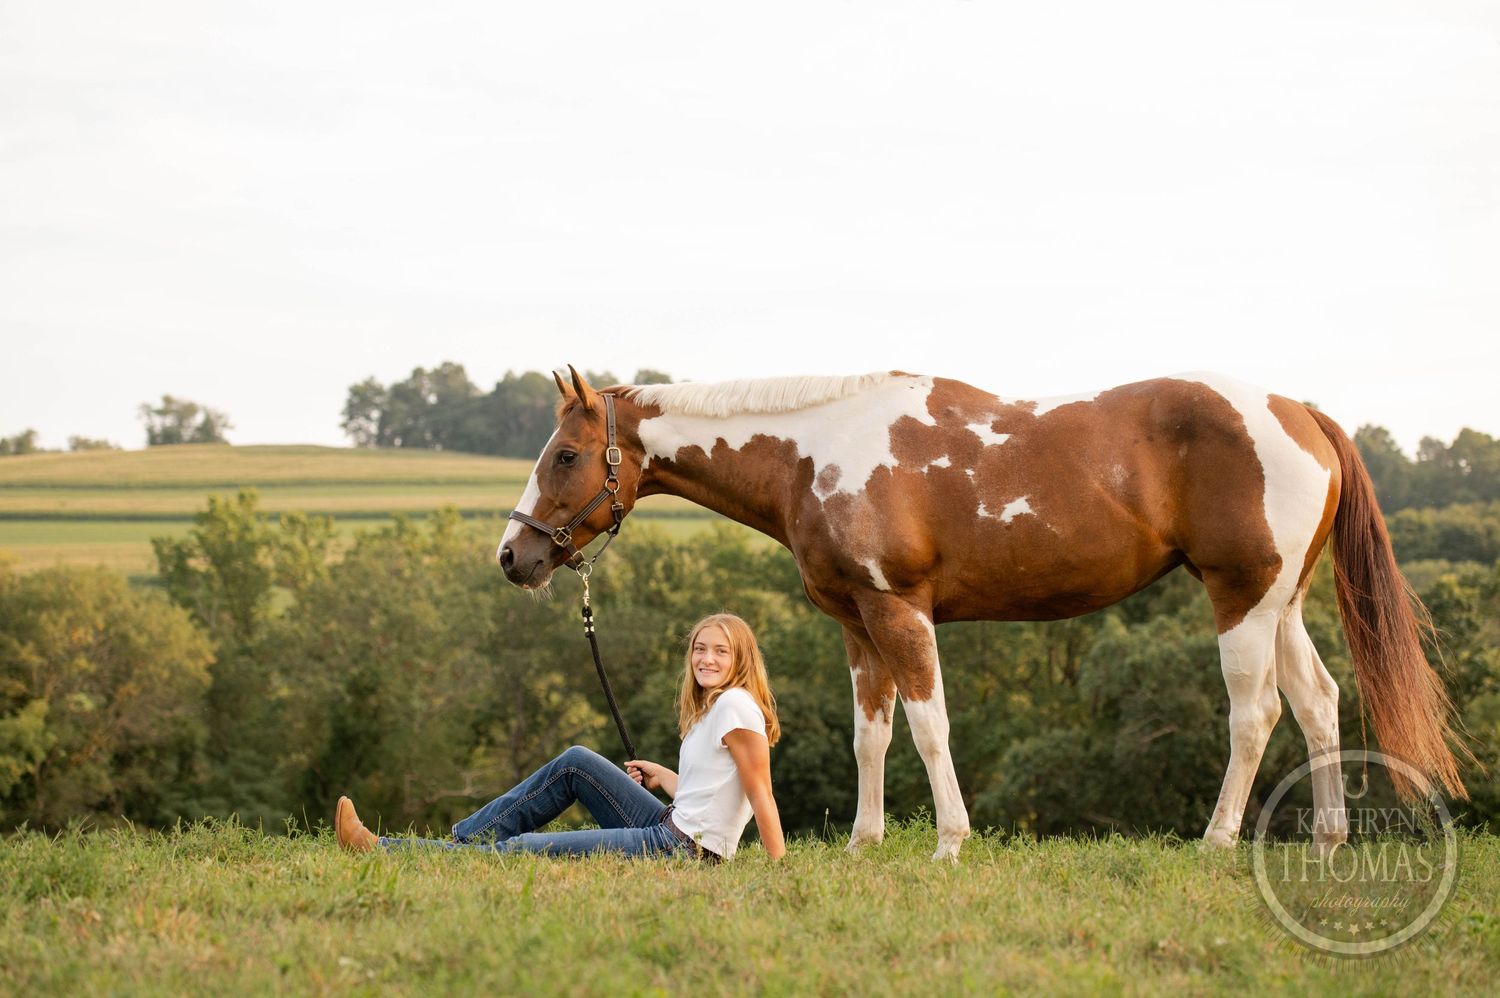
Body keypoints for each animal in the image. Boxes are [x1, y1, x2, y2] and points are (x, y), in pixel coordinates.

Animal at [497, 366, 1464, 860]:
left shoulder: (900, 611)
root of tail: (1301, 411)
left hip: (1241, 600)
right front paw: (864, 845)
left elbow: (930, 730)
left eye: (566, 454)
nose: (514, 556)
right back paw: (1329, 842)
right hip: (1280, 603)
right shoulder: (855, 622)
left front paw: (949, 844)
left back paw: (1218, 842)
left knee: (1254, 713)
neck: (817, 451)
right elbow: (873, 737)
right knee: (1319, 703)